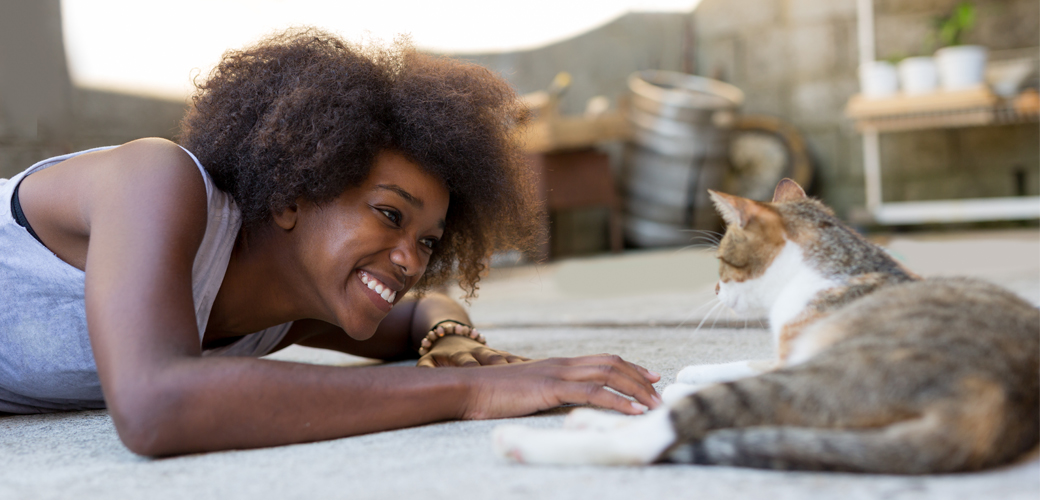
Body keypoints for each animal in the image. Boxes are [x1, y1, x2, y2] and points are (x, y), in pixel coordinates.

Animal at [488, 178, 1040, 471]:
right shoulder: (783, 353)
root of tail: (1002, 404)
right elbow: (727, 363)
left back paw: (540, 440)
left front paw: (674, 384)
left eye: (723, 263)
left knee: (660, 434)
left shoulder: (791, 356)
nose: (714, 291)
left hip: (833, 376)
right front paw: (680, 375)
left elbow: (709, 378)